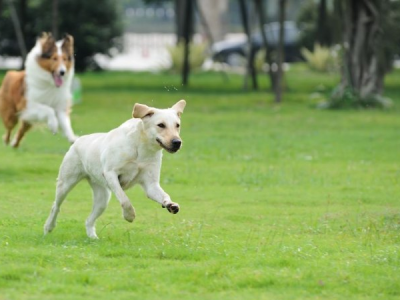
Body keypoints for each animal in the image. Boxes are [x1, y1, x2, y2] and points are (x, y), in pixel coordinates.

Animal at [43, 101, 186, 239]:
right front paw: (129, 215)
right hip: (66, 183)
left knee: (89, 220)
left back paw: (92, 237)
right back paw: (48, 227)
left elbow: (164, 195)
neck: (141, 148)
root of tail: (78, 141)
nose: (177, 142)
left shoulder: (151, 184)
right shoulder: (111, 174)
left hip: (102, 198)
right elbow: (124, 200)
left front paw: (170, 205)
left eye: (177, 125)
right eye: (161, 125)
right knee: (56, 206)